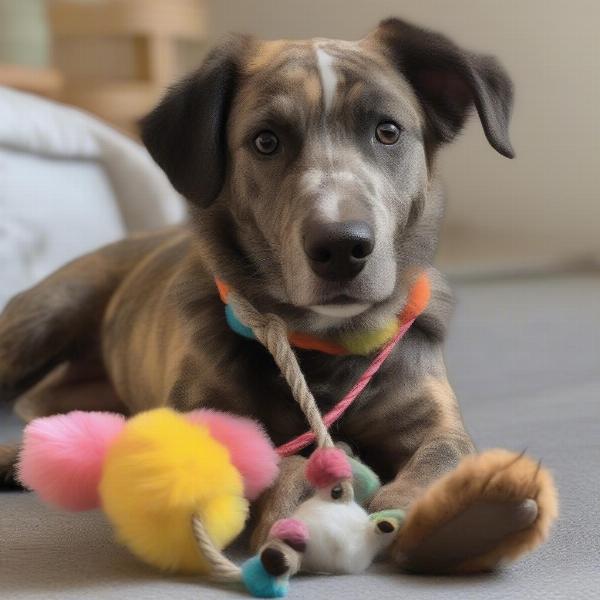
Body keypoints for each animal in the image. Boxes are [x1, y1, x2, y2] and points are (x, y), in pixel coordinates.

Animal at [0, 17, 556, 572]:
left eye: (388, 131)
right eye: (266, 141)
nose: (342, 246)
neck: (325, 343)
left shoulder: (431, 415)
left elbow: (446, 453)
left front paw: (451, 513)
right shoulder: (194, 421)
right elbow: (265, 455)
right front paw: (303, 493)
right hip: (45, 317)